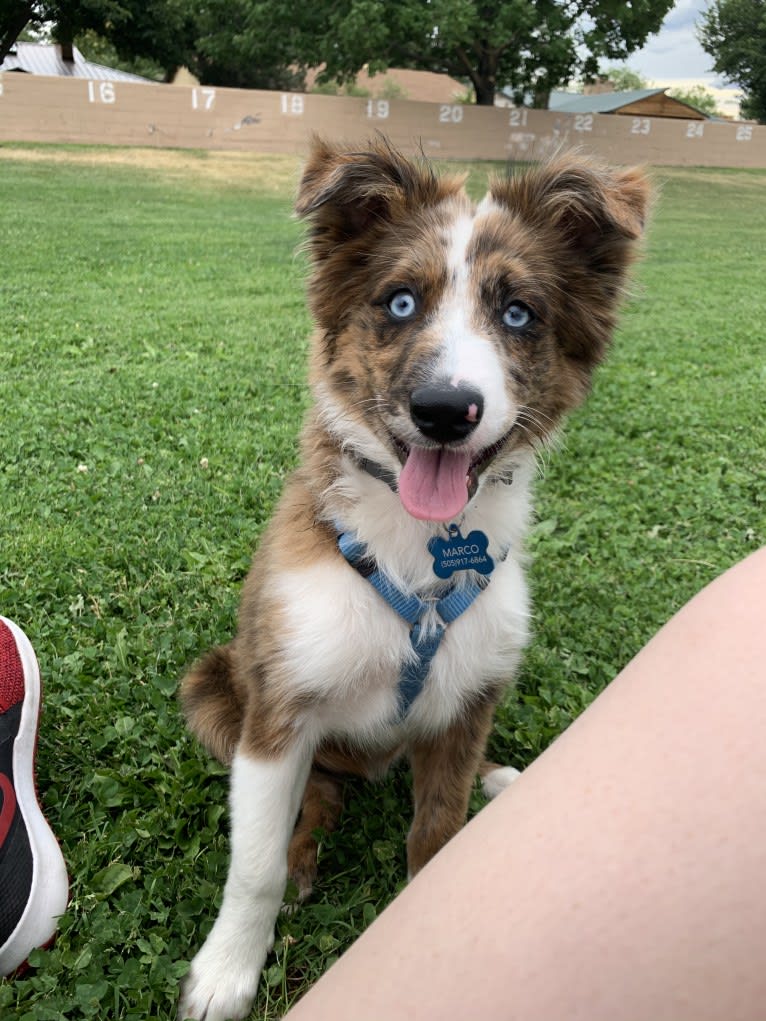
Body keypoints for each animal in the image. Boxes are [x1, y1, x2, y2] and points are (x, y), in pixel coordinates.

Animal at [176, 137, 649, 1021]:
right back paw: (303, 851)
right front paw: (225, 971)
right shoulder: (279, 708)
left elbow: (438, 829)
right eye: (399, 303)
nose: (444, 409)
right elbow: (252, 865)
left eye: (518, 314)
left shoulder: (467, 696)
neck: (418, 546)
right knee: (316, 793)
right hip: (213, 685)